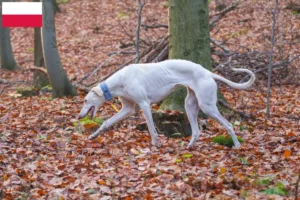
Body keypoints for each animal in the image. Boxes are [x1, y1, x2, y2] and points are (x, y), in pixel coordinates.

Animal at [78, 59, 255, 148]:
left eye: (86, 100)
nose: (79, 116)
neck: (120, 81)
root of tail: (207, 72)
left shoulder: (144, 104)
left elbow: (151, 127)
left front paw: (155, 143)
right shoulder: (128, 108)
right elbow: (106, 122)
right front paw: (94, 135)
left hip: (207, 107)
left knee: (229, 125)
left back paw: (237, 145)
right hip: (190, 105)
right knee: (197, 131)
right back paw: (189, 146)